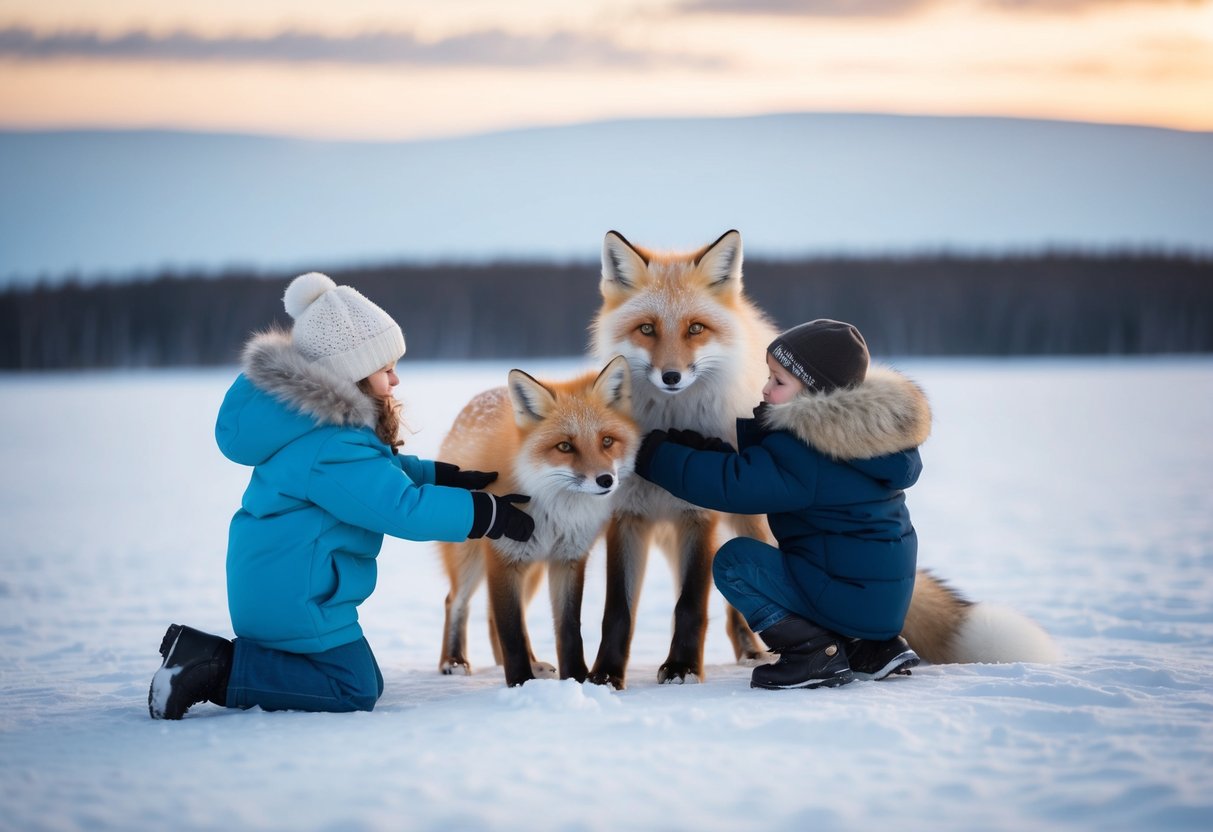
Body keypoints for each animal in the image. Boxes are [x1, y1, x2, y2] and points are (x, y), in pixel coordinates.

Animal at [437, 355, 638, 688]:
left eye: (607, 441)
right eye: (565, 446)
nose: (606, 480)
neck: (555, 513)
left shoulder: (568, 559)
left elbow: (569, 631)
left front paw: (576, 679)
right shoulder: (503, 557)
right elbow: (512, 633)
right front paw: (520, 682)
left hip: (530, 572)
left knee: (493, 616)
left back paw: (532, 664)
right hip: (472, 560)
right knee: (455, 601)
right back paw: (453, 661)